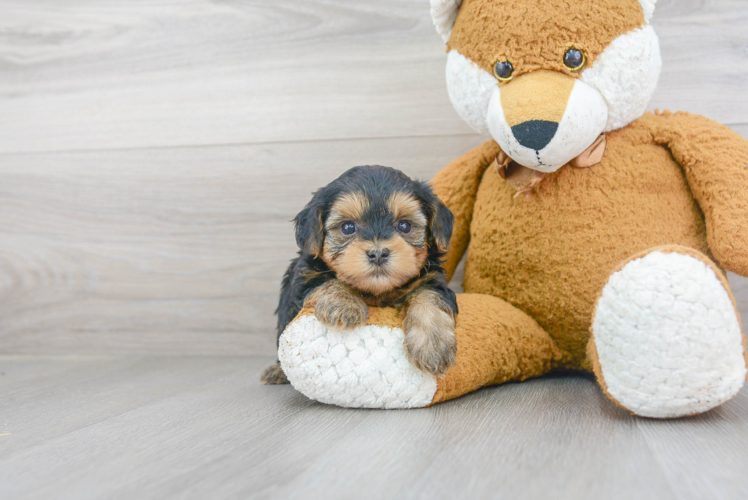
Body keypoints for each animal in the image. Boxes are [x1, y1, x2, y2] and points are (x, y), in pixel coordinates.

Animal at [260, 166, 458, 384]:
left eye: (405, 226)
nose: (378, 254)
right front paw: (344, 304)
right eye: (347, 227)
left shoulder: (432, 278)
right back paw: (277, 372)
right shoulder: (304, 278)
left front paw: (433, 346)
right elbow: (327, 281)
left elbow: (429, 297)